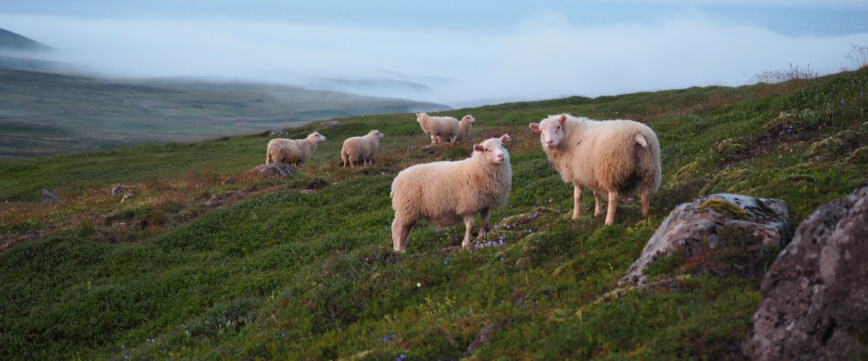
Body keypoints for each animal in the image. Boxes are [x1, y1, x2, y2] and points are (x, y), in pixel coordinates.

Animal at [524, 113, 660, 225]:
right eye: (540, 131)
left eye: (558, 127)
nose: (549, 142)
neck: (569, 136)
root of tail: (637, 134)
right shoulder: (591, 173)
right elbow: (596, 193)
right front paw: (597, 212)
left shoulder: (577, 174)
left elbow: (577, 196)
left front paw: (575, 216)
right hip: (649, 168)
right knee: (645, 193)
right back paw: (644, 214)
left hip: (610, 170)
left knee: (613, 197)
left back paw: (609, 221)